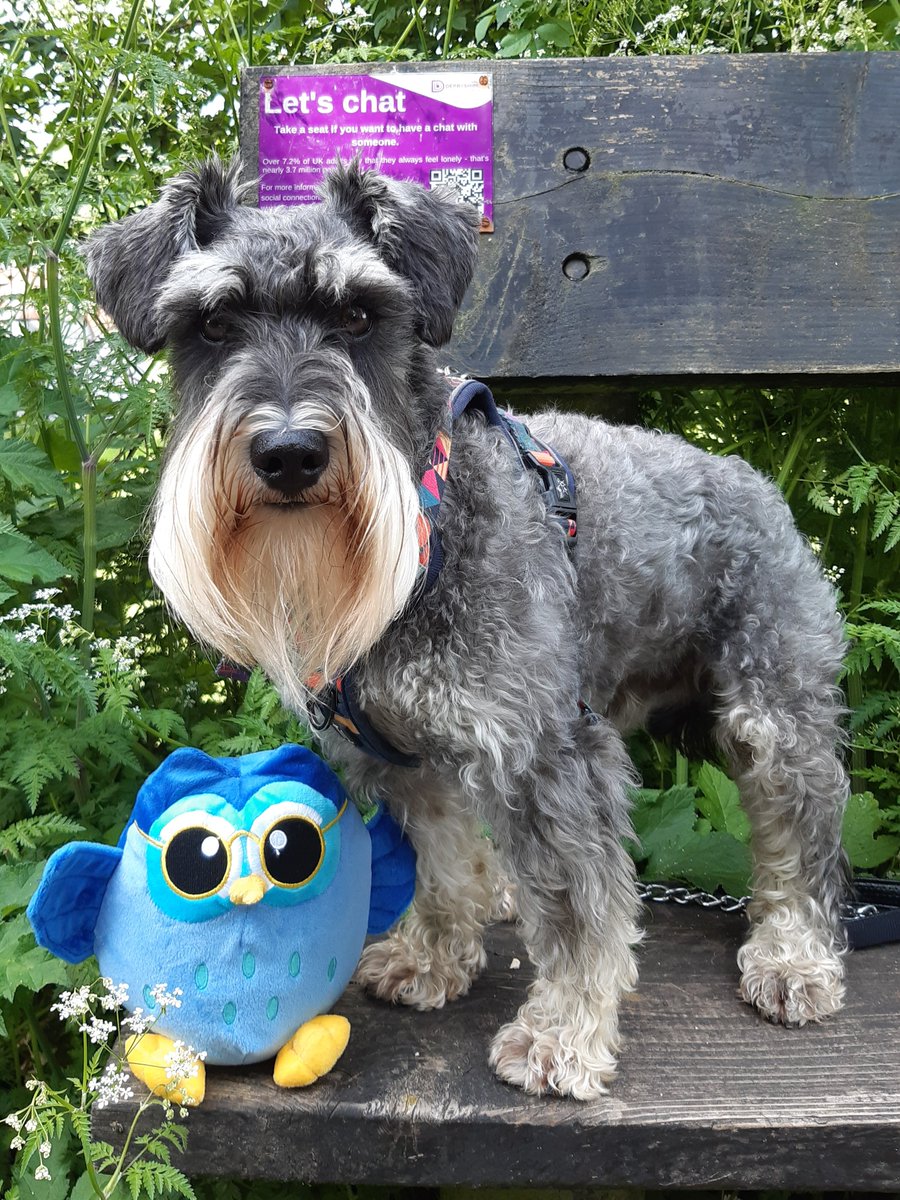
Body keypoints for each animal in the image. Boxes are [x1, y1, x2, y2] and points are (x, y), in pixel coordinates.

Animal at [86, 157, 854, 1099]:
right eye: (213, 324)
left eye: (359, 315)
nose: (290, 453)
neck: (425, 541)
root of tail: (757, 481)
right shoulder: (396, 756)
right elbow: (440, 861)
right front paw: (433, 955)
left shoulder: (546, 753)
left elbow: (581, 908)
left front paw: (562, 1034)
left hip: (774, 718)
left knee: (800, 841)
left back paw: (793, 956)